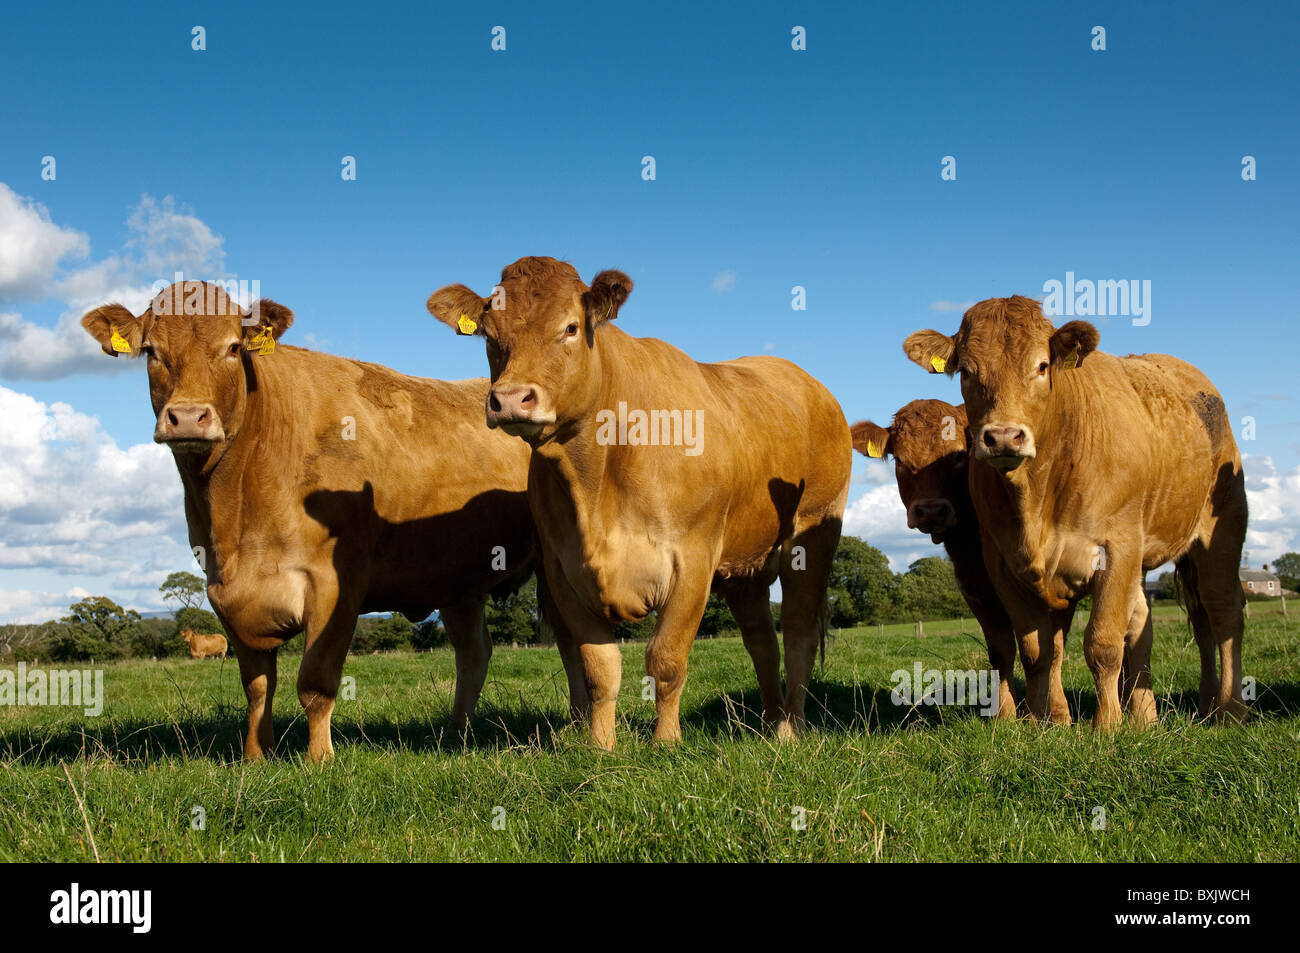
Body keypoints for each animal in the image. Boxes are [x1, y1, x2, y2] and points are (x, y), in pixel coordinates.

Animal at [81, 281, 544, 761]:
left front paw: (319, 759)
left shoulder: (334, 584)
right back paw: (457, 732)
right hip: (457, 581)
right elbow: (257, 686)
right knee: (473, 653)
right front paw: (255, 755)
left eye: (232, 348)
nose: (188, 417)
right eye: (151, 351)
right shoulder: (222, 591)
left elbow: (316, 683)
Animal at [427, 256, 852, 750]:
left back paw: (789, 729)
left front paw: (665, 741)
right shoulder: (563, 571)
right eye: (490, 336)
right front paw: (600, 745)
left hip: (812, 536)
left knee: (799, 633)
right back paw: (767, 722)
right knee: (761, 641)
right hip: (744, 566)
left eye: (570, 327)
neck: (595, 480)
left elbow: (665, 659)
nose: (511, 399)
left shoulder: (692, 561)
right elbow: (598, 668)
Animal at [850, 400, 1075, 722]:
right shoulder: (975, 590)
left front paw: (1054, 713)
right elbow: (1001, 651)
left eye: (959, 456)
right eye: (899, 460)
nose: (931, 511)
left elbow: (1050, 649)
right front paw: (1003, 714)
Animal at [903, 295, 1247, 730]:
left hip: (1222, 528)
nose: (1003, 436)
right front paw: (1038, 722)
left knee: (1223, 613)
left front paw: (1108, 726)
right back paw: (1168, 712)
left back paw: (1230, 709)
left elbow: (1103, 644)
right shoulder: (1004, 564)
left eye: (1041, 366)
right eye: (966, 370)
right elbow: (1037, 651)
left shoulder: (1118, 548)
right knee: (1176, 621)